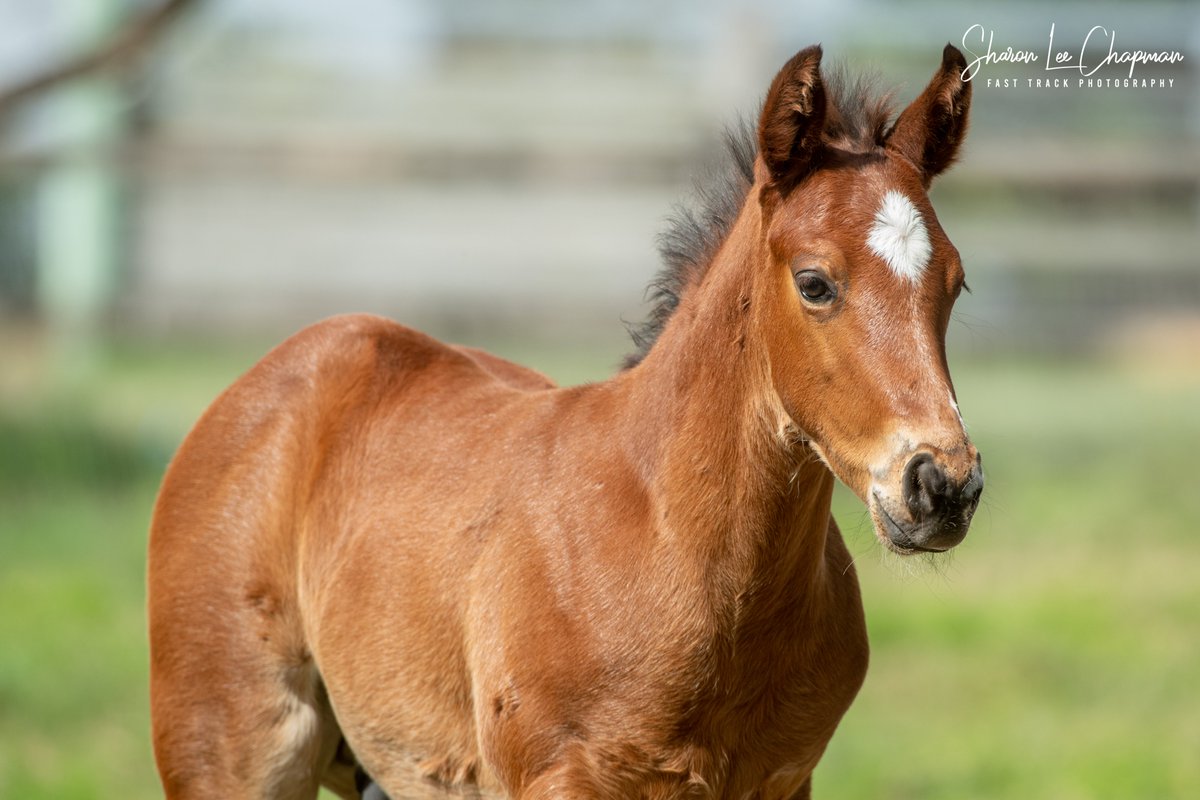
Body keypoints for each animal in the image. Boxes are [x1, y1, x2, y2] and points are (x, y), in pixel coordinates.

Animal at [148, 43, 982, 799]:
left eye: (956, 283)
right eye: (814, 283)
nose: (942, 486)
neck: (674, 545)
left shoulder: (781, 781)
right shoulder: (561, 775)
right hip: (234, 750)